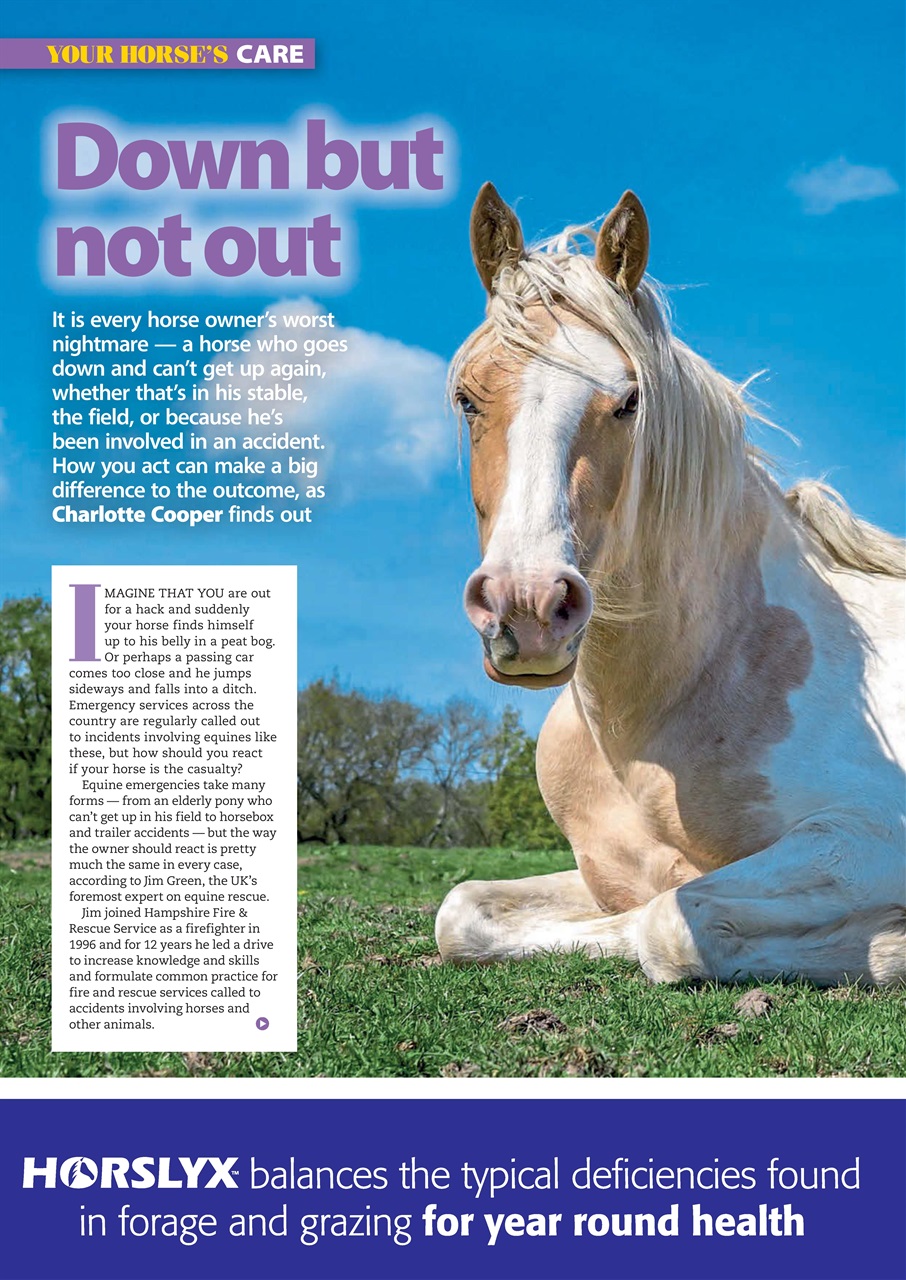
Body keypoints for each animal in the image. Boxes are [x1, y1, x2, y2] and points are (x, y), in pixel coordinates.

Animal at [435, 183, 906, 986]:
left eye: (629, 400)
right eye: (468, 398)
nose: (527, 608)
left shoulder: (865, 839)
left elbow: (670, 925)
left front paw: (884, 946)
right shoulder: (597, 875)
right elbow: (461, 911)